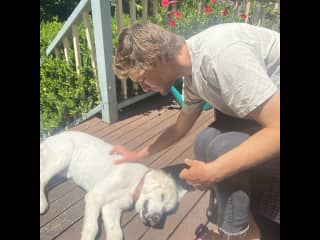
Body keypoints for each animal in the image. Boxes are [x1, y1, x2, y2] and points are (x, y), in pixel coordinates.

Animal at [40, 131, 190, 240]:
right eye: (162, 196)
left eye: (167, 211)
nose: (157, 220)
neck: (134, 185)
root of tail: (50, 137)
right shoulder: (94, 196)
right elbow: (92, 227)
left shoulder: (110, 207)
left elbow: (116, 233)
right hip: (62, 156)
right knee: (43, 178)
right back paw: (42, 204)